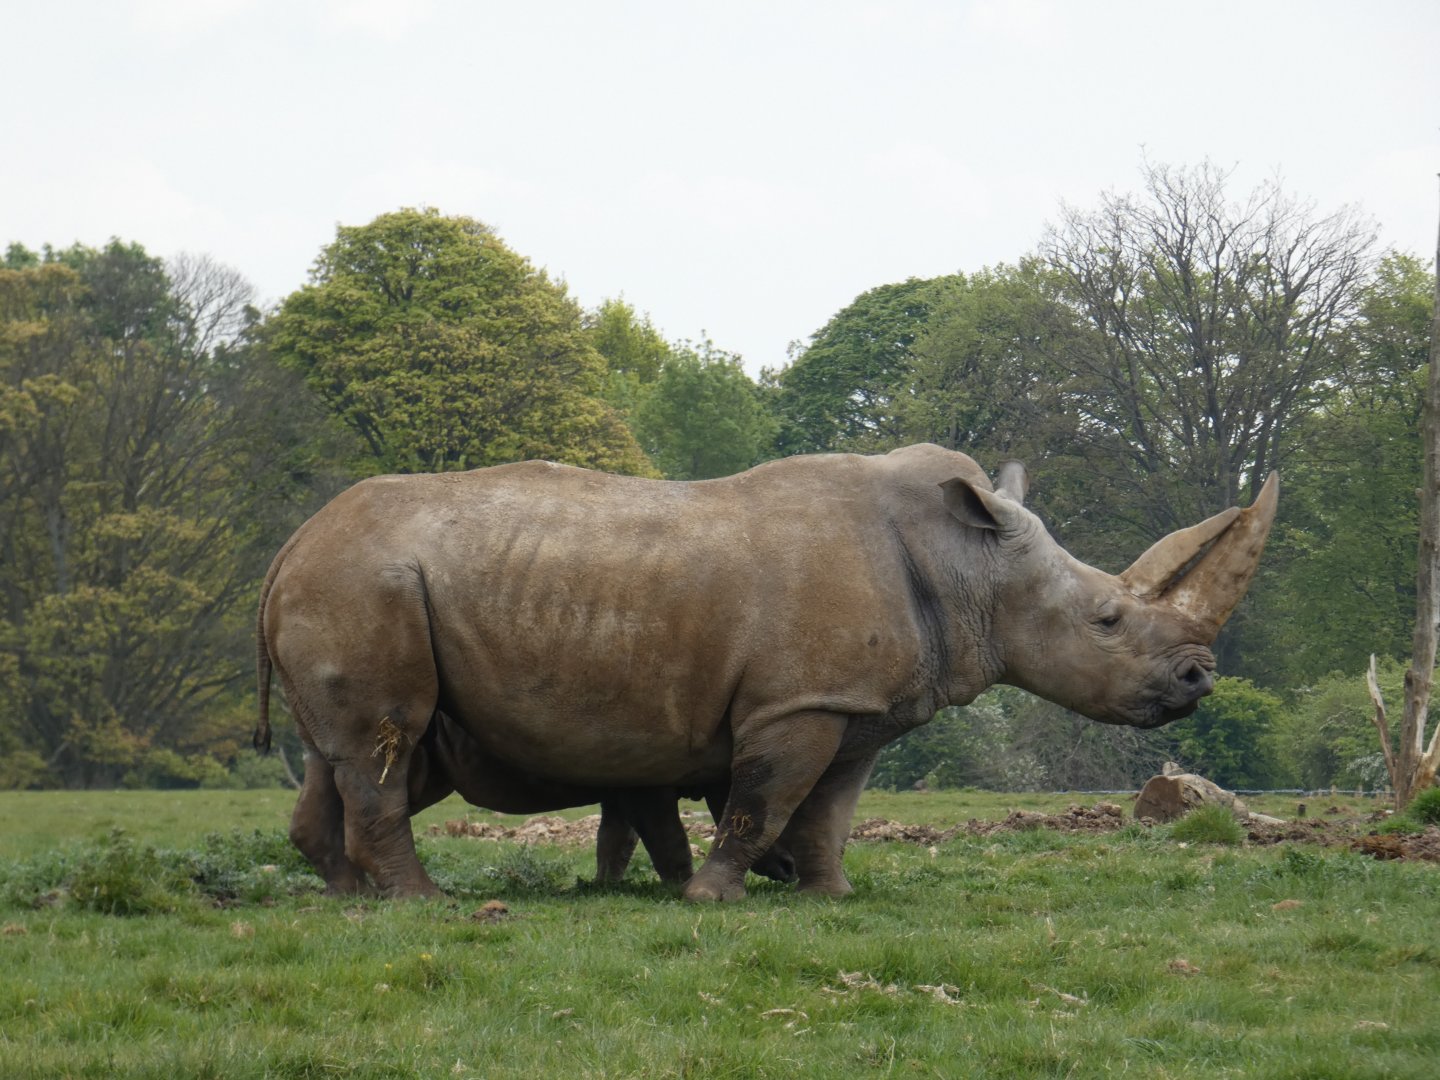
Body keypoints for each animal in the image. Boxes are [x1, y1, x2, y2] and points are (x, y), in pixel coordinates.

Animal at [256, 443, 1275, 901]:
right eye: (1107, 620)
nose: (1199, 679)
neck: (969, 565)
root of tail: (289, 545)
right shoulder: (799, 703)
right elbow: (762, 801)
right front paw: (712, 899)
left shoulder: (857, 707)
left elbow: (827, 811)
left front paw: (828, 897)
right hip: (366, 580)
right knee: (386, 747)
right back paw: (422, 905)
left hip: (356, 582)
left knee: (343, 755)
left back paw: (348, 897)